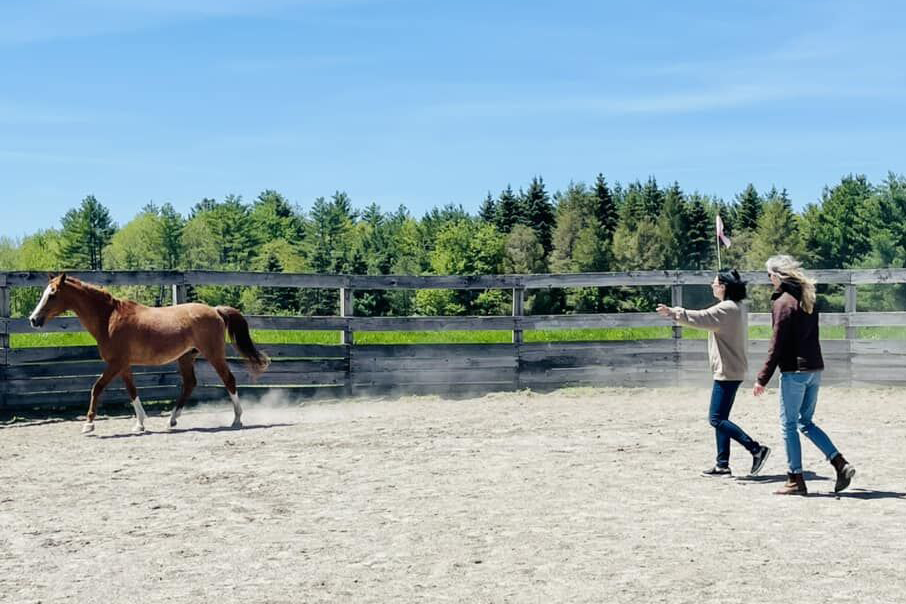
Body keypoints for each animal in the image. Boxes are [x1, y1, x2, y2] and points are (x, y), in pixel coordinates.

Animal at [27, 274, 268, 434]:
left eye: (52, 295)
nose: (33, 319)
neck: (109, 319)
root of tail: (215, 310)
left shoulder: (116, 363)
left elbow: (97, 387)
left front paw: (88, 424)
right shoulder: (123, 365)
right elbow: (131, 391)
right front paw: (140, 424)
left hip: (213, 354)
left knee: (229, 380)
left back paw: (236, 420)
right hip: (186, 357)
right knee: (190, 384)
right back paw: (171, 421)